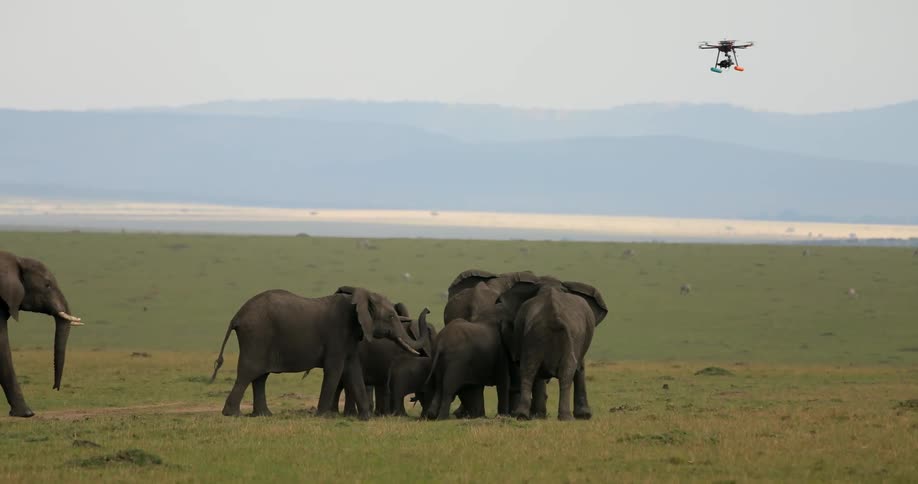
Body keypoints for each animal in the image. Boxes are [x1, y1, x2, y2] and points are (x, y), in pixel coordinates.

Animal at [210, 286, 426, 420]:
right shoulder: (337, 333)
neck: (360, 298)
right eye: (391, 316)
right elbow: (335, 369)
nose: (428, 309)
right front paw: (324, 416)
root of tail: (237, 316)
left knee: (260, 376)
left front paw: (366, 418)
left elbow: (353, 369)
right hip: (257, 335)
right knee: (250, 371)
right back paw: (232, 414)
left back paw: (264, 415)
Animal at [498, 277, 608, 421]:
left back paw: (527, 416)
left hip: (536, 337)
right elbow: (580, 368)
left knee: (533, 369)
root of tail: (553, 316)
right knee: (556, 371)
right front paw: (584, 416)